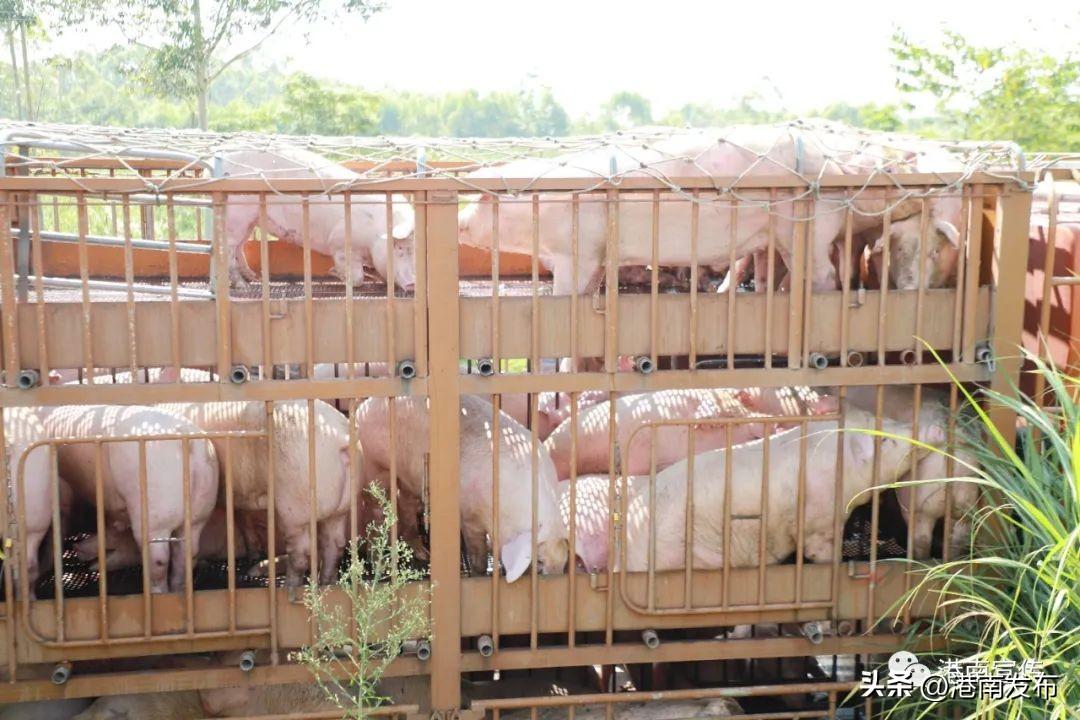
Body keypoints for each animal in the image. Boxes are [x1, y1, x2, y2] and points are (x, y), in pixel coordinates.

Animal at [38, 403, 219, 595]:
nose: (75, 548)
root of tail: (189, 441)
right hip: (202, 504)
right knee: (187, 552)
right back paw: (178, 590)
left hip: (154, 508)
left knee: (159, 559)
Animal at [157, 399, 354, 587]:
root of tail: (342, 438)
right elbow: (242, 518)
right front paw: (254, 553)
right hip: (341, 505)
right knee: (335, 544)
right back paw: (327, 582)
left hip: (296, 499)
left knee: (301, 551)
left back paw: (287, 584)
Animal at [220, 146, 416, 289]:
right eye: (399, 248)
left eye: (415, 251)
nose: (413, 284)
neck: (375, 231)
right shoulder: (340, 242)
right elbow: (356, 276)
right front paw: (336, 274)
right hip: (237, 216)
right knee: (229, 249)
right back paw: (242, 286)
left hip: (249, 221)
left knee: (240, 247)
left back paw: (253, 278)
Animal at [356, 397, 574, 582]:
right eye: (539, 562)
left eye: (563, 563)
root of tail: (365, 406)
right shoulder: (470, 515)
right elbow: (477, 553)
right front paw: (479, 575)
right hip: (375, 464)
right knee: (376, 508)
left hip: (411, 478)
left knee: (405, 503)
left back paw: (423, 553)